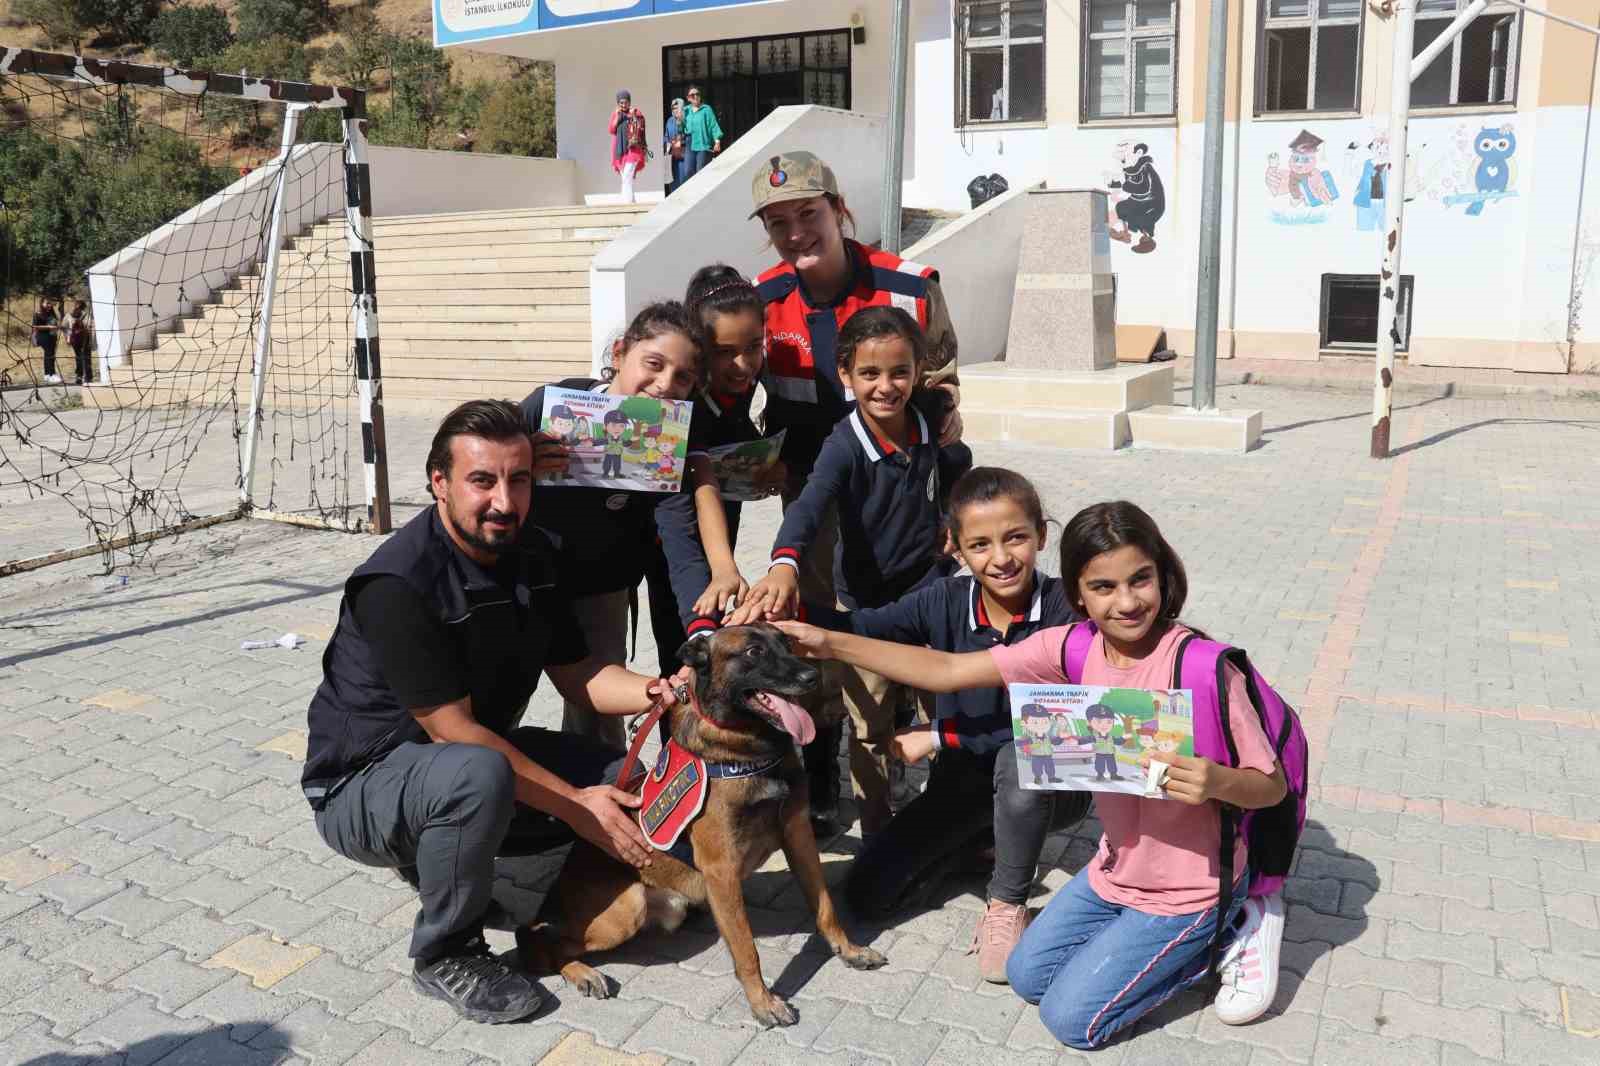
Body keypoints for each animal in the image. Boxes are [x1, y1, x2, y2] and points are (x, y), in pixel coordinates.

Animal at [515, 624, 883, 1024]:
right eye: (753, 652)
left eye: (787, 643)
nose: (811, 676)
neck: (748, 749)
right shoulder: (721, 869)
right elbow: (746, 948)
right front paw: (763, 1001)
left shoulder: (798, 836)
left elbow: (825, 907)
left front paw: (849, 949)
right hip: (626, 908)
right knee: (540, 942)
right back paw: (583, 972)